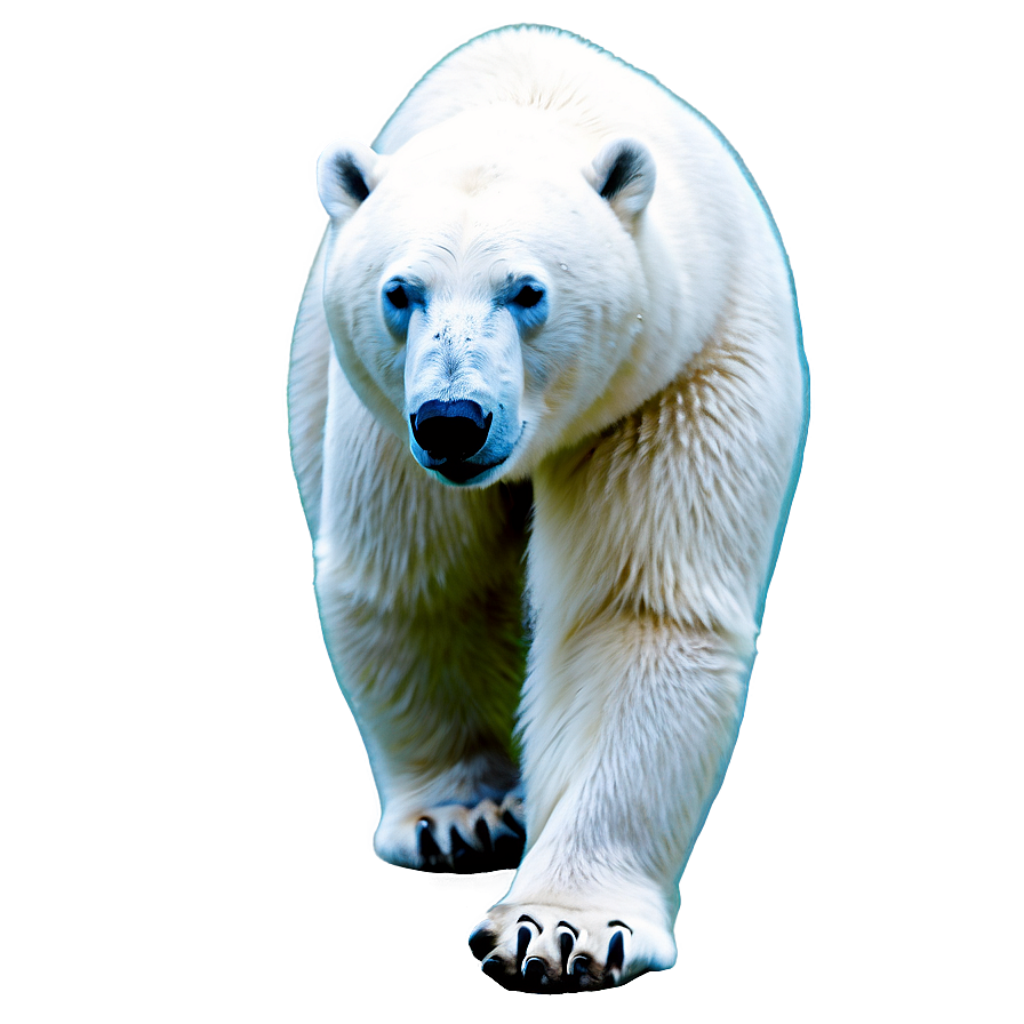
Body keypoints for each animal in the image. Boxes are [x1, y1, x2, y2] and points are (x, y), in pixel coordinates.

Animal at [285, 25, 808, 991]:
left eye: (525, 291)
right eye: (400, 291)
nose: (454, 421)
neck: (537, 95)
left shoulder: (673, 381)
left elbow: (631, 615)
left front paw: (560, 931)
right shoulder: (381, 416)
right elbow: (427, 580)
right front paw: (466, 817)